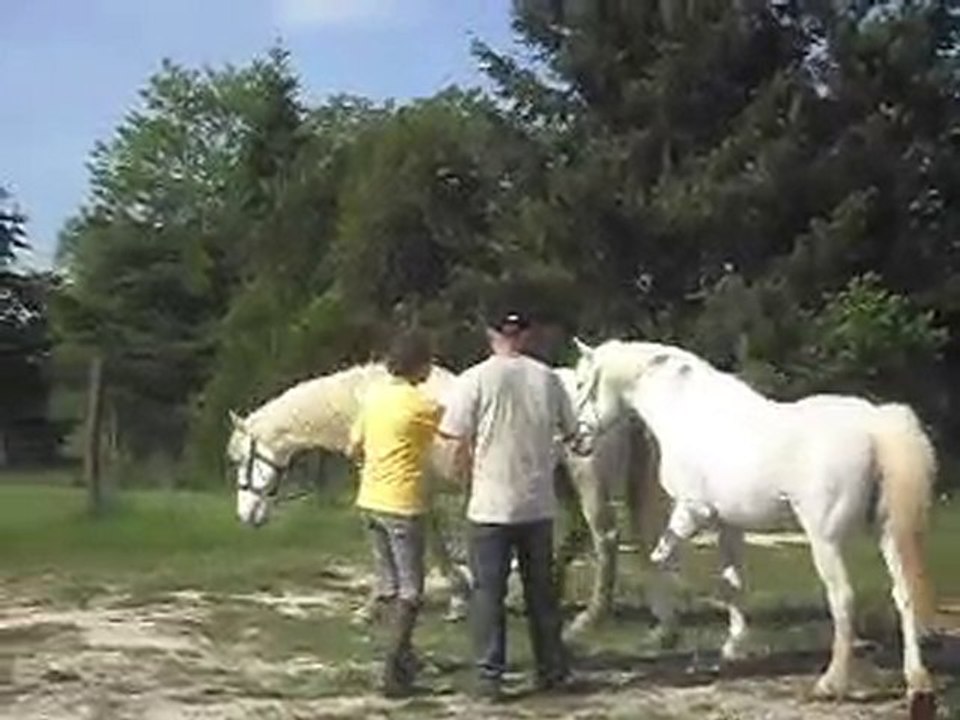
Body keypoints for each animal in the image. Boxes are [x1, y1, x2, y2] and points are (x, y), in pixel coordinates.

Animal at [228, 360, 659, 638]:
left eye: (238, 458)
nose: (247, 515)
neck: (369, 405)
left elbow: (408, 548)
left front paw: (377, 607)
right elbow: (434, 543)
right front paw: (459, 598)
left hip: (588, 481)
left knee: (604, 538)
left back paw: (587, 620)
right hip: (562, 481)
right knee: (578, 534)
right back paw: (536, 595)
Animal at [571, 337, 936, 701]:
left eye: (580, 384)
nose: (576, 441)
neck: (689, 413)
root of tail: (874, 427)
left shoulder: (691, 512)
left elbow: (660, 562)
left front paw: (665, 630)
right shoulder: (729, 525)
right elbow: (733, 582)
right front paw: (733, 647)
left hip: (825, 540)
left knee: (844, 599)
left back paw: (830, 683)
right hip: (887, 534)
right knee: (904, 595)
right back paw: (916, 680)